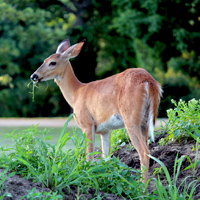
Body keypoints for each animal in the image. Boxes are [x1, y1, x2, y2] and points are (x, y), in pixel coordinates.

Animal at [30, 38, 162, 183]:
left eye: (52, 62)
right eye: (44, 60)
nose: (34, 76)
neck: (76, 94)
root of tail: (149, 81)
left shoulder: (87, 123)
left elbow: (89, 156)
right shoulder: (105, 130)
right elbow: (106, 158)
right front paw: (107, 179)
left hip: (131, 118)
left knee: (144, 152)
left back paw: (141, 186)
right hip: (145, 120)